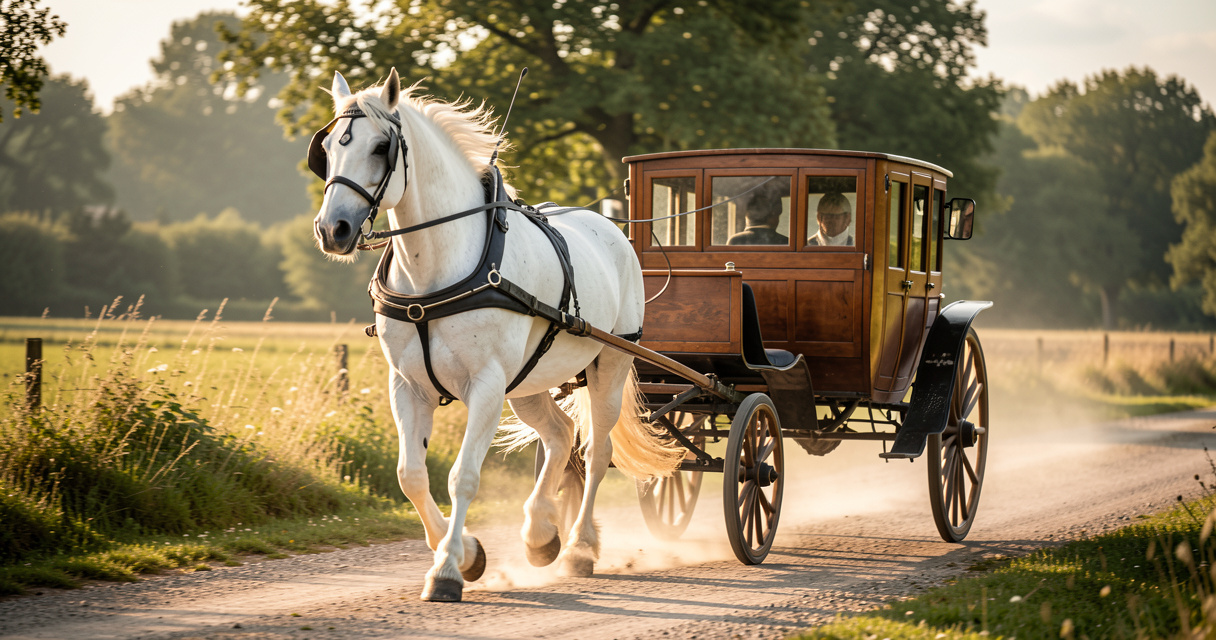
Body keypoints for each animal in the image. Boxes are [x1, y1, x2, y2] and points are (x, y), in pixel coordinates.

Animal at [309, 68, 684, 602]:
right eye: (326, 149)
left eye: (381, 146)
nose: (332, 229)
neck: (435, 272)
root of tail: (610, 225)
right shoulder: (407, 385)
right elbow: (411, 476)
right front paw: (467, 552)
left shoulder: (486, 385)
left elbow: (462, 477)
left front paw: (446, 569)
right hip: (527, 382)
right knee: (560, 435)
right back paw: (540, 534)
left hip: (609, 366)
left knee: (597, 451)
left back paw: (579, 547)